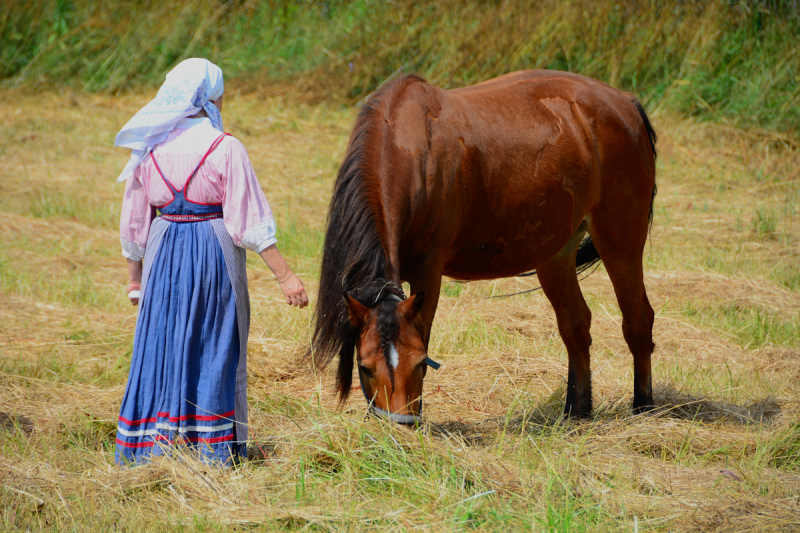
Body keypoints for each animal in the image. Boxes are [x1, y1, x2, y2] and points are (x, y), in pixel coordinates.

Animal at [310, 69, 656, 424]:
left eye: (420, 362)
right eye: (365, 367)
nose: (401, 426)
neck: (406, 149)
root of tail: (624, 103)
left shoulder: (428, 271)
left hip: (620, 241)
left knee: (638, 320)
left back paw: (643, 408)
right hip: (556, 254)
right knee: (576, 326)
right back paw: (576, 412)